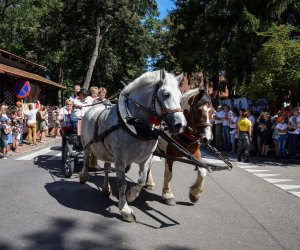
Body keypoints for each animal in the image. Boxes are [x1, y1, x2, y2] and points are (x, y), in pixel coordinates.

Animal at [78, 69, 186, 222]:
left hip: (107, 152)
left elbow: (141, 180)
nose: (180, 125)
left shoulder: (145, 158)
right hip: (87, 144)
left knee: (106, 168)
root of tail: (94, 107)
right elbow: (122, 183)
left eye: (181, 97)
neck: (135, 123)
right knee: (86, 158)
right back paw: (83, 176)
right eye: (166, 94)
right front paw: (125, 210)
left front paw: (131, 196)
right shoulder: (120, 160)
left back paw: (106, 188)